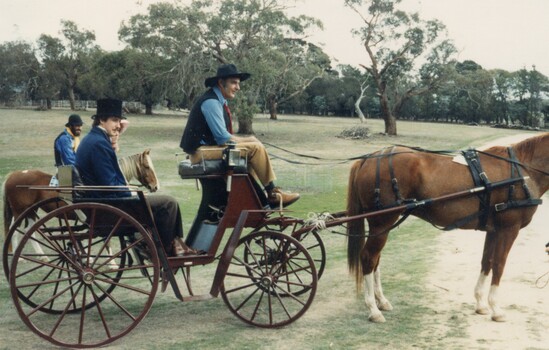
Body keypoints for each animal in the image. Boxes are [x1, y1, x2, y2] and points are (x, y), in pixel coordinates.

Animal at [3, 148, 158, 254]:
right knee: (15, 230)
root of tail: (13, 175)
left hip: (30, 211)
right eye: (147, 166)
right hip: (20, 210)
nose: (155, 186)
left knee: (27, 230)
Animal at [346, 133, 548, 322]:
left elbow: (487, 262)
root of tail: (369, 159)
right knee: (369, 258)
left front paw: (481, 304)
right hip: (382, 223)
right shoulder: (508, 229)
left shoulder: (494, 230)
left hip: (382, 227)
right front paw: (496, 309)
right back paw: (373, 309)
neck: (523, 170)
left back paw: (381, 301)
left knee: (376, 260)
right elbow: (499, 264)